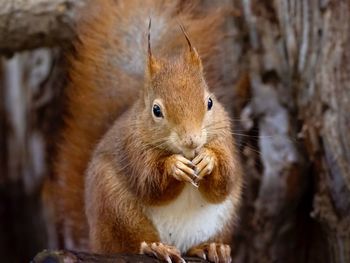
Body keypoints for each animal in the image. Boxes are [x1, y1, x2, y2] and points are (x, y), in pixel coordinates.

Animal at [45, 0, 243, 263]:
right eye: (156, 110)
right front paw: (174, 166)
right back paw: (155, 247)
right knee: (131, 243)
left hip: (222, 219)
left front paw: (208, 159)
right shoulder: (133, 148)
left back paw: (210, 248)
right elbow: (150, 183)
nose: (191, 141)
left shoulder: (224, 137)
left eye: (209, 102)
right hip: (118, 210)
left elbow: (225, 181)